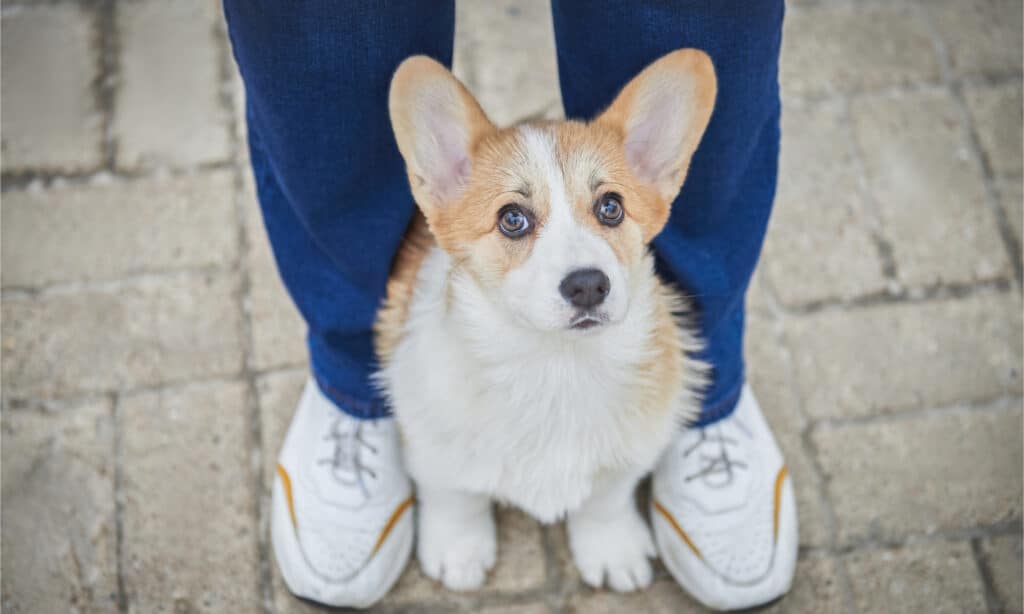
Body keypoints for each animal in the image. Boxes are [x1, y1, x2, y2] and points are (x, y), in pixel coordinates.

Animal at [372, 50, 716, 593]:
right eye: (512, 219)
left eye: (611, 207)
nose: (589, 285)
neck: (556, 364)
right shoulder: (429, 438)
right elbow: (454, 495)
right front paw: (458, 551)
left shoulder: (632, 449)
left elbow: (606, 498)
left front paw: (612, 549)